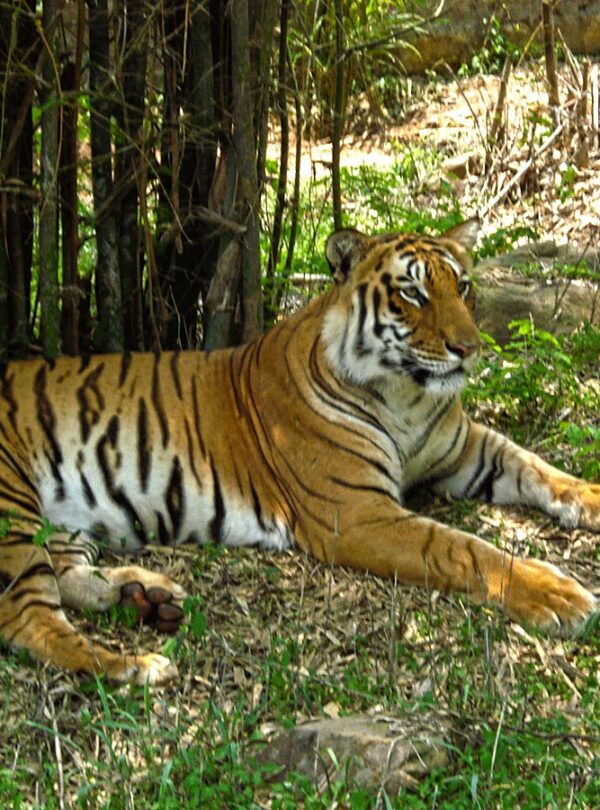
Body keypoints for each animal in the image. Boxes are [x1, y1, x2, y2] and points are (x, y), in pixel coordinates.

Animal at [0, 219, 598, 685]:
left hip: (63, 524)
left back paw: (143, 595)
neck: (405, 396)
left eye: (464, 286)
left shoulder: (464, 447)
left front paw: (589, 496)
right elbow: (461, 548)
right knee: (27, 620)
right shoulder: (356, 514)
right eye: (413, 293)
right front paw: (558, 594)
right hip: (14, 513)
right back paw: (134, 664)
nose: (469, 349)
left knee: (68, 576)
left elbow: (535, 467)